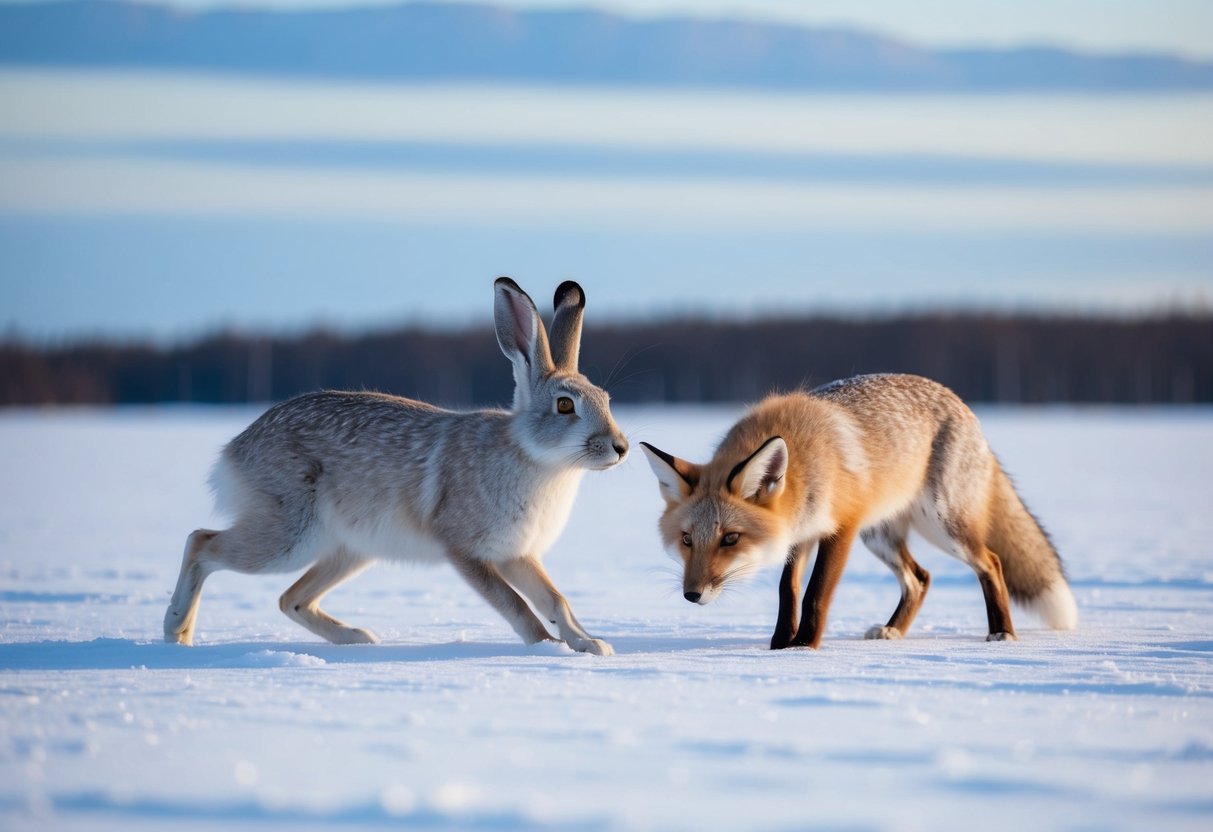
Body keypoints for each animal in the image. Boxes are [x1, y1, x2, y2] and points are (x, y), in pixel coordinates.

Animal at [641, 373, 1077, 648]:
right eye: (686, 540)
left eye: (730, 538)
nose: (692, 595)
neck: (803, 463)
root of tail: (961, 404)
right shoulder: (800, 533)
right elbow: (788, 591)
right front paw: (780, 646)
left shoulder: (842, 528)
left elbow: (816, 593)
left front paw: (804, 647)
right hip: (880, 535)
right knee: (920, 578)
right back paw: (893, 631)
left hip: (942, 525)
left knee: (992, 563)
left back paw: (1002, 633)